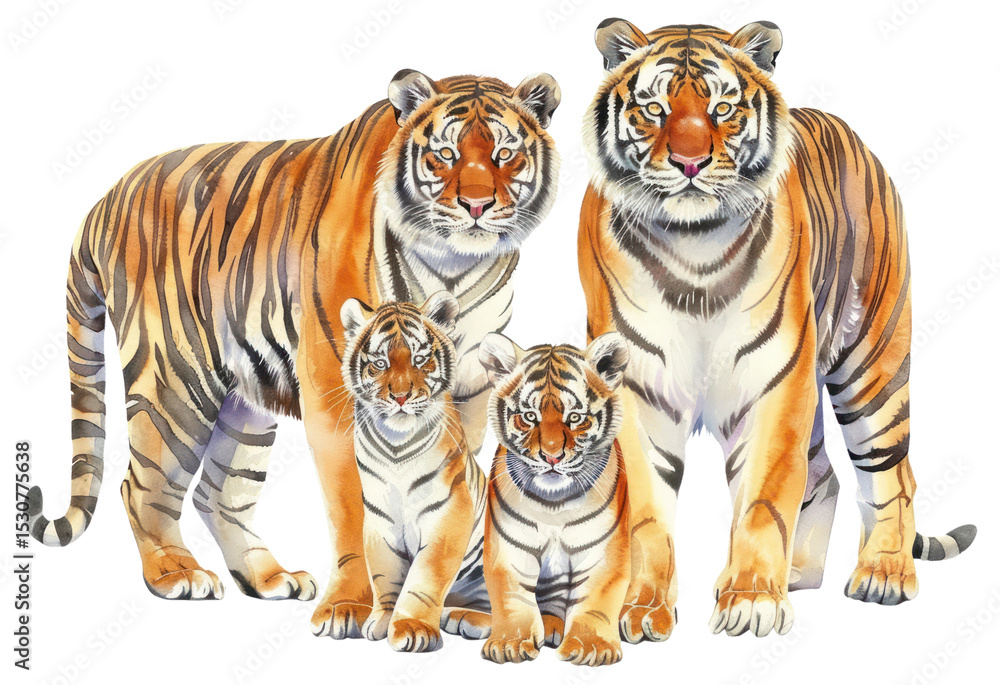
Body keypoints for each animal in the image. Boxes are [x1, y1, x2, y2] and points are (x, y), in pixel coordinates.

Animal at [340, 292, 490, 652]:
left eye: (420, 359)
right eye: (380, 363)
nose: (400, 397)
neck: (397, 445)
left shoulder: (448, 514)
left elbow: (425, 578)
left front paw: (412, 628)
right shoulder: (380, 519)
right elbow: (384, 573)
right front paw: (381, 620)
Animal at [478, 333, 631, 666]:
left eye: (575, 418)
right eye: (529, 417)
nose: (551, 457)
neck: (554, 504)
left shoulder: (604, 550)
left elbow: (597, 595)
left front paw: (591, 647)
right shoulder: (508, 547)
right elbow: (510, 595)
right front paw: (509, 643)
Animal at [577, 19, 977, 640]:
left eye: (721, 108)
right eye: (653, 108)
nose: (689, 164)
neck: (693, 246)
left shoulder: (773, 382)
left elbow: (764, 497)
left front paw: (751, 602)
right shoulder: (636, 387)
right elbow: (644, 510)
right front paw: (641, 609)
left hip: (871, 368)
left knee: (893, 474)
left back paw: (884, 574)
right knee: (827, 474)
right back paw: (798, 572)